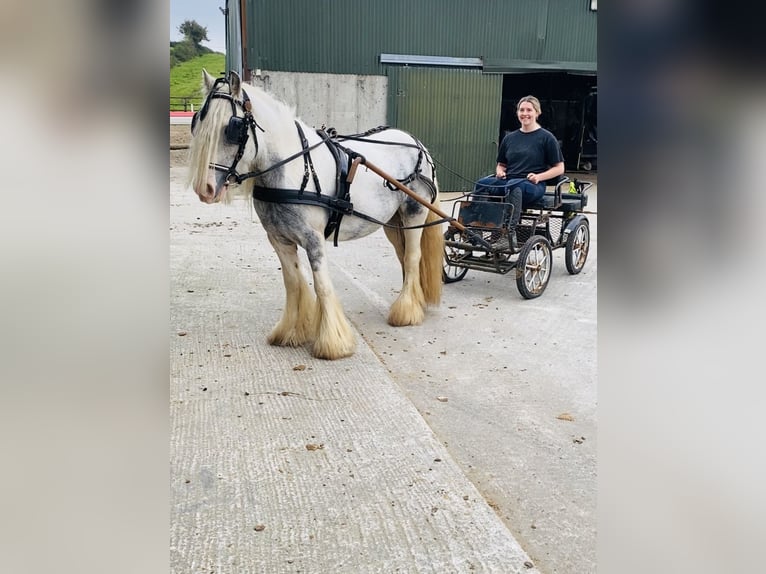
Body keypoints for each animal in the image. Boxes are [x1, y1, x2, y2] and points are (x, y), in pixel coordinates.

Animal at [185, 71, 444, 360]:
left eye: (233, 128)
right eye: (197, 123)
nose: (205, 189)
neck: (294, 168)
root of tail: (416, 143)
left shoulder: (313, 239)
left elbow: (321, 285)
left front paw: (333, 343)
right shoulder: (279, 239)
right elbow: (293, 282)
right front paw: (291, 332)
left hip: (414, 212)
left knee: (412, 257)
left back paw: (407, 311)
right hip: (392, 222)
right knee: (404, 256)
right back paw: (414, 300)